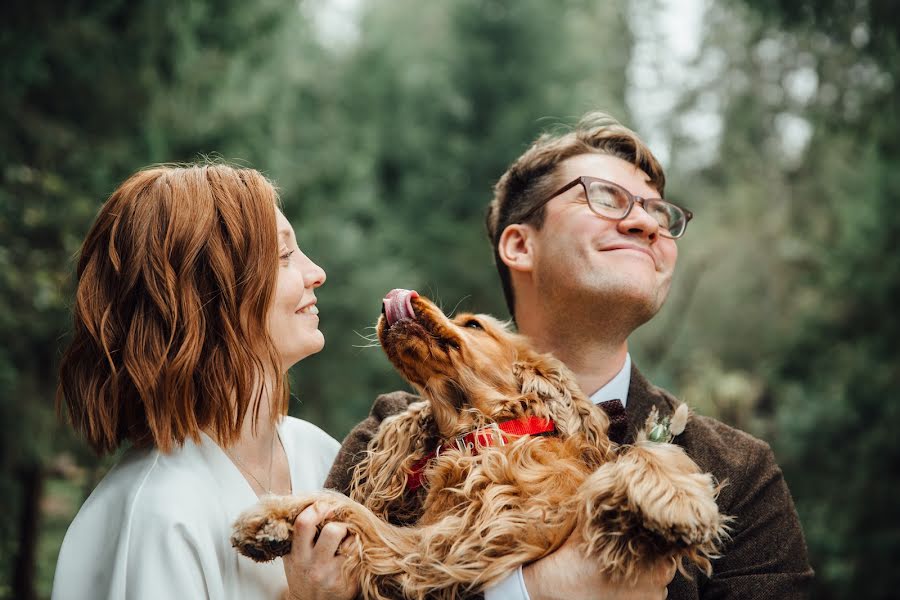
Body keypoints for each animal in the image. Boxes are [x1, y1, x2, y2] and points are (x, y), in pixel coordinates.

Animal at [229, 288, 728, 596]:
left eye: (472, 324)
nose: (400, 297)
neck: (487, 435)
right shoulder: (449, 544)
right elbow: (345, 505)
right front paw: (269, 521)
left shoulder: (460, 545)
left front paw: (679, 503)